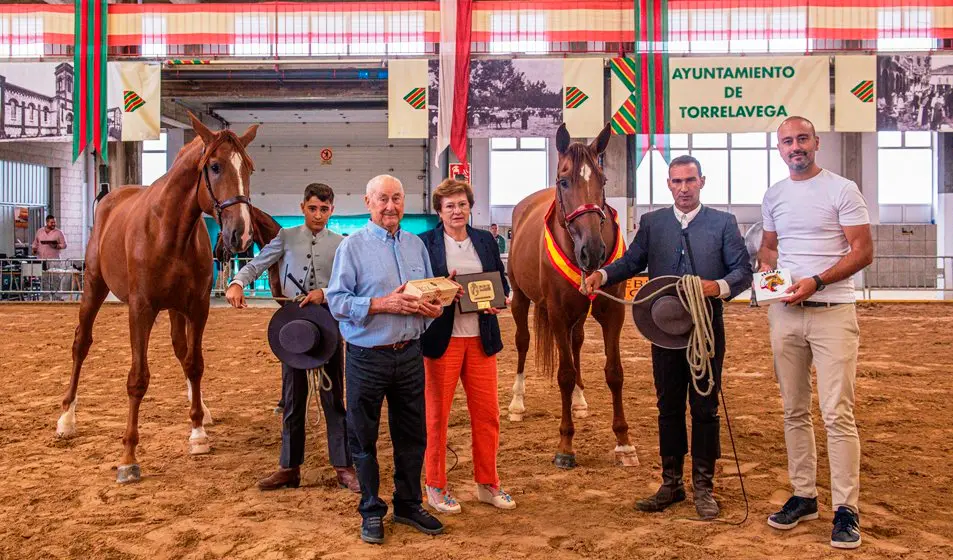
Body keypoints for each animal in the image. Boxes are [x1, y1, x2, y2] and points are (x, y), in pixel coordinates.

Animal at [55, 112, 256, 482]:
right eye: (215, 167)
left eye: (248, 167)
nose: (242, 234)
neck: (170, 231)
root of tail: (109, 197)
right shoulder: (141, 309)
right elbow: (138, 379)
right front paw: (128, 457)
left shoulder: (197, 307)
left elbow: (195, 363)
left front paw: (198, 432)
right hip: (93, 286)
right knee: (81, 344)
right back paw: (66, 419)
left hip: (175, 309)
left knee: (182, 351)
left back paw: (201, 409)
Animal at [510, 122, 636, 468]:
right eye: (564, 181)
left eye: (603, 181)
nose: (592, 251)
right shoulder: (556, 312)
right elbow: (564, 374)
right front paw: (565, 446)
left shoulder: (612, 313)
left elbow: (614, 372)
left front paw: (623, 442)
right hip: (520, 299)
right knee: (523, 342)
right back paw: (517, 402)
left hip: (579, 313)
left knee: (576, 342)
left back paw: (579, 400)